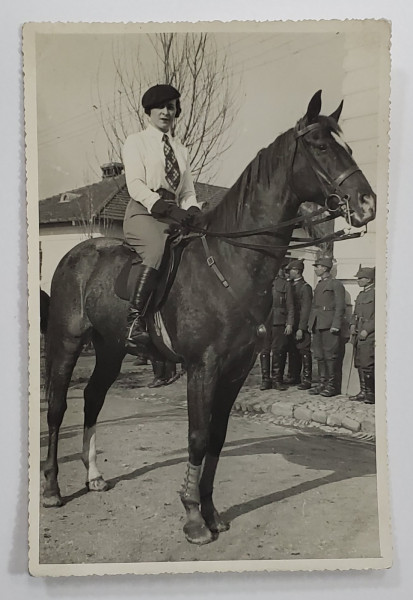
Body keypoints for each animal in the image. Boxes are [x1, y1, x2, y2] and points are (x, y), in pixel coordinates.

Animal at [43, 92, 374, 544]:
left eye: (350, 148)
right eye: (321, 146)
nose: (367, 204)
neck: (232, 261)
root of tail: (76, 253)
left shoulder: (236, 369)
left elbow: (217, 438)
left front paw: (212, 511)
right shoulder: (204, 367)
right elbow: (198, 437)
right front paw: (192, 516)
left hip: (111, 347)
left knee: (93, 397)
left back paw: (93, 476)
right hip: (66, 341)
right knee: (59, 406)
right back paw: (53, 489)